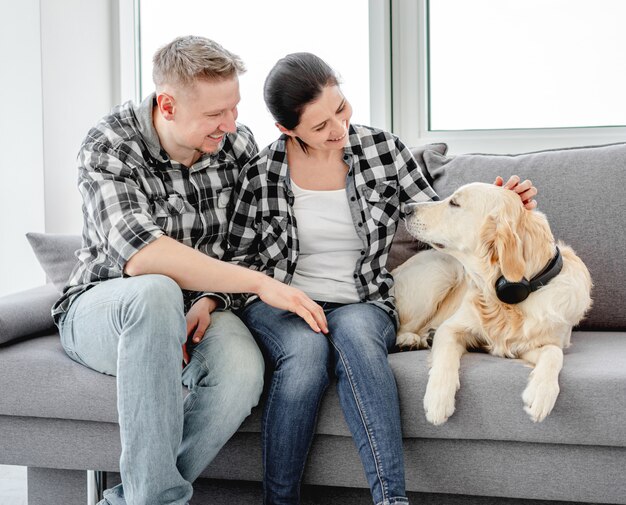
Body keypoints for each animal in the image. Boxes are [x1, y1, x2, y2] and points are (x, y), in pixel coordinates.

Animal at [390, 183, 588, 424]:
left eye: (454, 203)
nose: (406, 209)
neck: (507, 300)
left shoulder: (531, 344)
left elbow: (553, 353)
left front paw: (541, 393)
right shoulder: (451, 327)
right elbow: (445, 356)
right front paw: (438, 399)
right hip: (441, 273)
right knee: (402, 326)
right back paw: (410, 339)